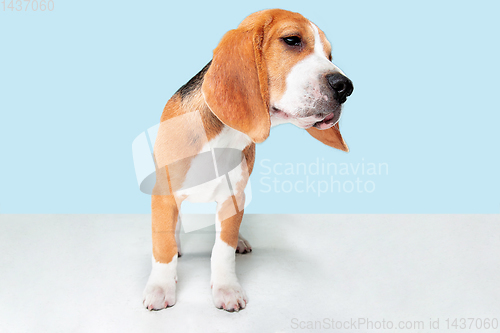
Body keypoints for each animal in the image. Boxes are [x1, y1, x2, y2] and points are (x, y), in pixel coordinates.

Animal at [143, 9, 354, 312]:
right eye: (292, 40)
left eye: (329, 55)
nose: (345, 87)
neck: (225, 134)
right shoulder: (164, 193)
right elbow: (163, 247)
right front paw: (160, 287)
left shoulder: (233, 197)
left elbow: (222, 249)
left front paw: (226, 288)